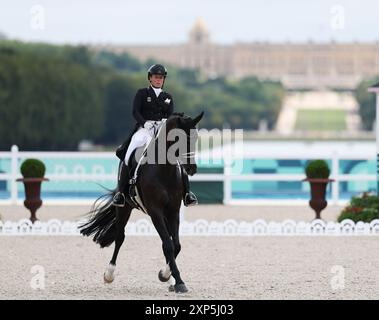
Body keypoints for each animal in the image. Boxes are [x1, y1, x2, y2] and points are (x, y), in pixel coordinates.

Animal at [80, 111, 203, 294]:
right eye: (179, 139)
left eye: (195, 139)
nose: (191, 169)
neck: (164, 170)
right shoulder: (155, 212)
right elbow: (168, 245)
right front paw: (177, 281)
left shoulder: (173, 211)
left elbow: (176, 245)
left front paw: (168, 276)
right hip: (124, 208)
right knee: (120, 237)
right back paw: (109, 274)